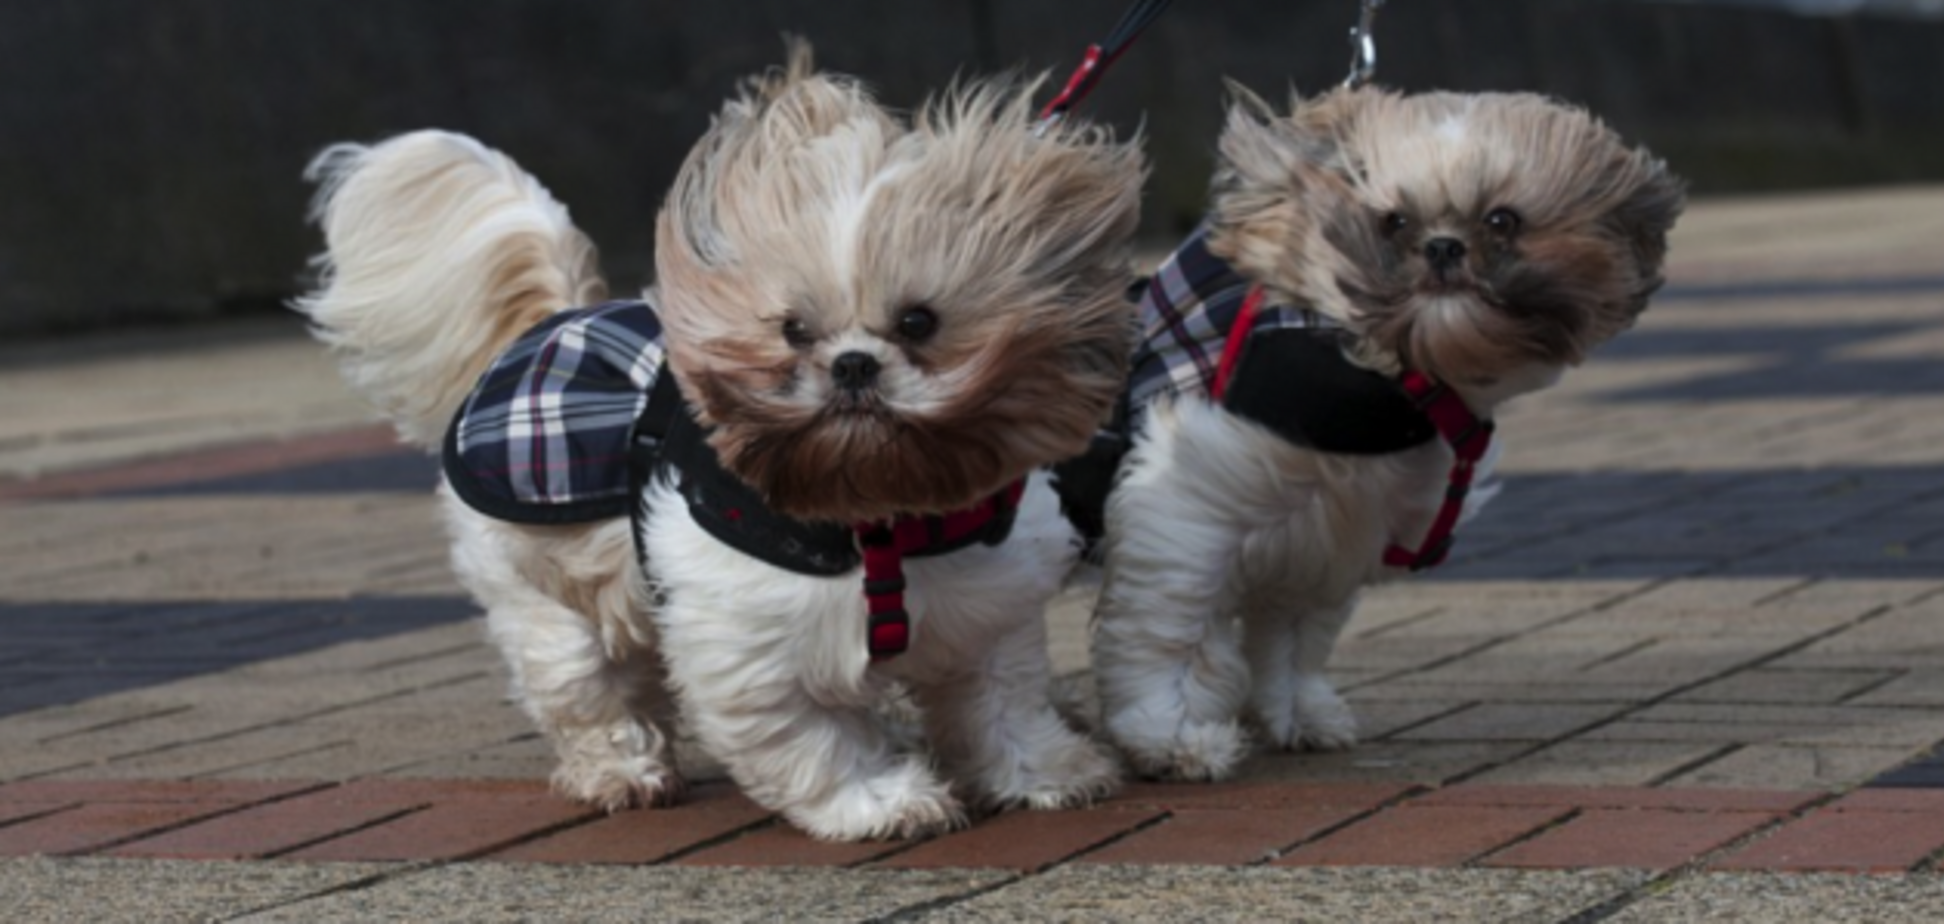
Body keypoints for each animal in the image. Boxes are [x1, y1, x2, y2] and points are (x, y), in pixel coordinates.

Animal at [297, 52, 1143, 848]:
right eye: (793, 330)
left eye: (918, 322)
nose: (852, 364)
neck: (877, 522)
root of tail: (553, 321)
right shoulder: (751, 651)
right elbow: (816, 740)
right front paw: (881, 801)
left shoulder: (987, 617)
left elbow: (999, 705)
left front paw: (1046, 773)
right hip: (536, 587)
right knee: (584, 685)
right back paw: (622, 771)